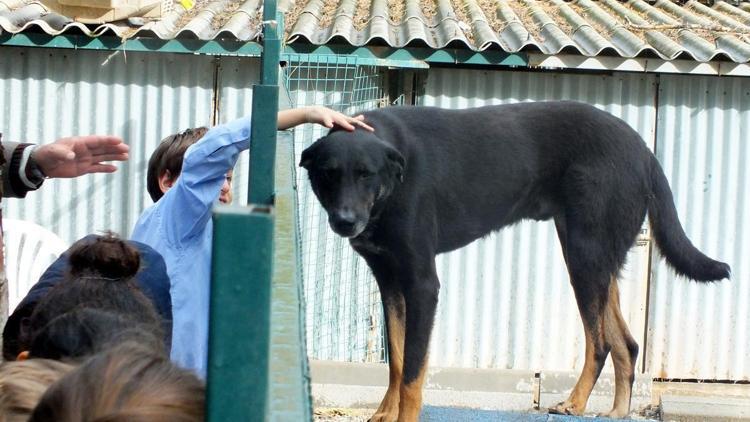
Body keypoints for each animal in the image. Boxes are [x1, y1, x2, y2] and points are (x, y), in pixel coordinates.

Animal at [300, 103, 728, 422]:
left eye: (366, 175)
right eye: (328, 175)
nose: (344, 221)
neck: (392, 182)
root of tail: (644, 150)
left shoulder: (422, 284)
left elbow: (413, 372)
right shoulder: (390, 281)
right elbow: (398, 360)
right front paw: (386, 413)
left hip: (585, 255)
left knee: (602, 341)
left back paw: (575, 403)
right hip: (594, 257)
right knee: (626, 342)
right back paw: (617, 411)